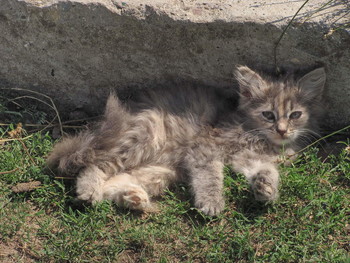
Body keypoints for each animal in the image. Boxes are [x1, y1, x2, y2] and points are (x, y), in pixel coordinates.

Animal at [46, 65, 326, 217]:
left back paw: (133, 198)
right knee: (93, 166)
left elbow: (267, 170)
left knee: (117, 179)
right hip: (143, 141)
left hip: (162, 171)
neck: (261, 139)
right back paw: (89, 190)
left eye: (295, 115)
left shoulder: (250, 159)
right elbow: (210, 176)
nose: (282, 130)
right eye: (268, 114)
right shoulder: (205, 149)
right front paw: (211, 202)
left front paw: (266, 188)